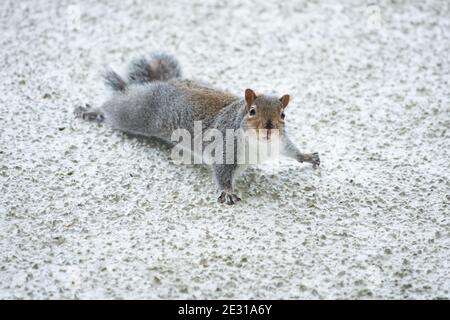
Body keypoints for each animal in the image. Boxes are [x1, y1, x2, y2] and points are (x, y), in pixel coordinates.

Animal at [74, 51, 320, 204]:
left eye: (283, 114)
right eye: (252, 111)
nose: (269, 128)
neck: (260, 144)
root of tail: (164, 83)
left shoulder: (279, 141)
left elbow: (290, 149)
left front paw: (306, 156)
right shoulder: (226, 147)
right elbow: (222, 171)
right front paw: (228, 192)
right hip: (137, 112)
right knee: (114, 107)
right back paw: (93, 110)